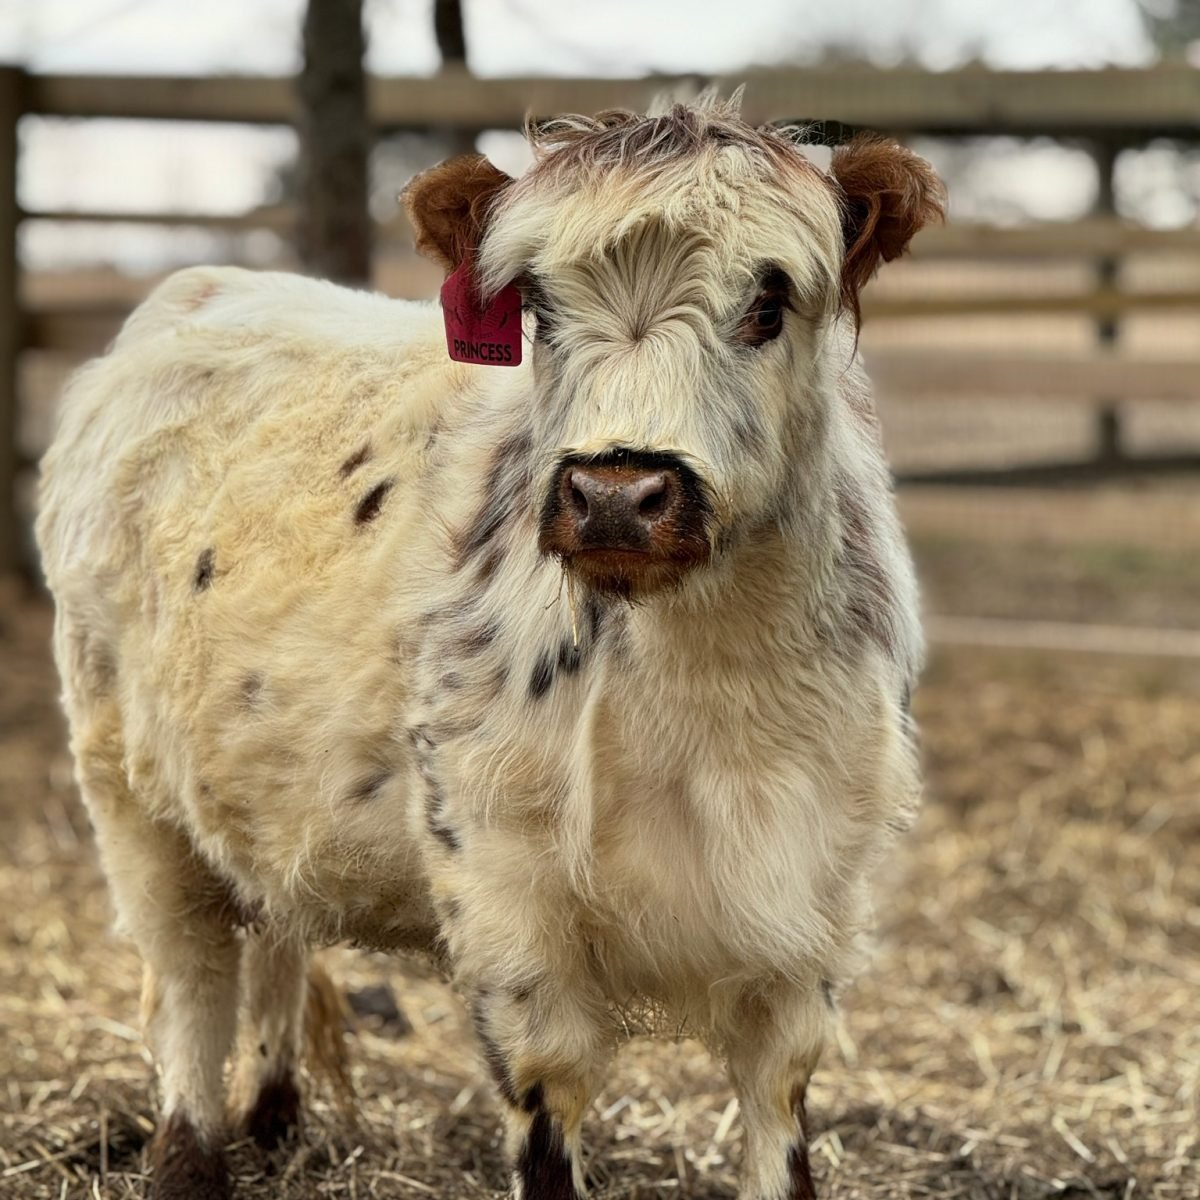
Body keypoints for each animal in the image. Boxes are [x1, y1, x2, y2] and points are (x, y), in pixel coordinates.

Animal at [35, 93, 943, 1200]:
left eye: (769, 305)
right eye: (540, 310)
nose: (617, 495)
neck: (715, 687)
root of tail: (202, 289)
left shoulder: (813, 901)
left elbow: (782, 1104)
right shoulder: (506, 892)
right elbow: (550, 1101)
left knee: (275, 938)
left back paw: (276, 1117)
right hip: (127, 789)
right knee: (191, 977)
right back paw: (191, 1155)